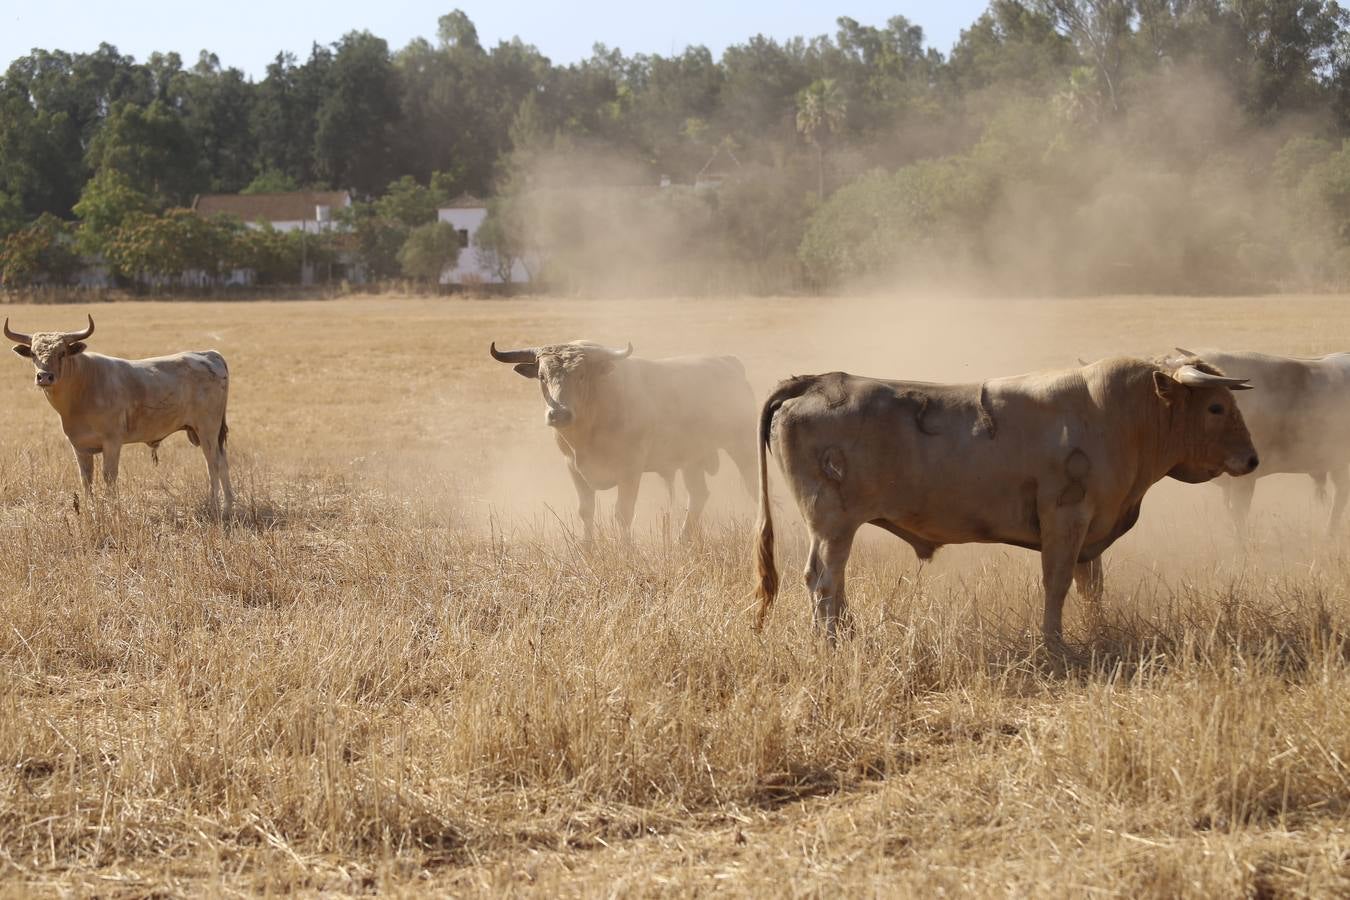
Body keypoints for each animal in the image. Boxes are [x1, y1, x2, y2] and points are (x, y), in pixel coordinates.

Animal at [8, 317, 234, 512]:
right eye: (34, 354)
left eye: (62, 352)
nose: (44, 377)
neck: (83, 387)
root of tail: (209, 354)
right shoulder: (79, 446)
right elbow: (86, 478)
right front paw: (90, 509)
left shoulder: (112, 442)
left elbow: (109, 477)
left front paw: (111, 509)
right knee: (223, 462)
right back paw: (228, 505)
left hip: (207, 429)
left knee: (213, 463)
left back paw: (214, 505)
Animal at [491, 341, 761, 542]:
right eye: (541, 376)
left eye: (581, 375)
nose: (559, 414)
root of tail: (729, 363)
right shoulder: (573, 468)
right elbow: (586, 511)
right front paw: (587, 549)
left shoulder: (630, 470)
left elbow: (622, 513)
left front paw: (626, 550)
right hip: (691, 460)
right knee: (698, 495)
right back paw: (682, 540)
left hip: (743, 447)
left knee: (753, 488)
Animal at [756, 356, 1258, 644]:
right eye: (1216, 407)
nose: (1252, 458)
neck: (1121, 417)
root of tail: (815, 382)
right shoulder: (1066, 517)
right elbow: (1057, 583)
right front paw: (1054, 644)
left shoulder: (1090, 527)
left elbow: (1091, 586)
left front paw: (1097, 631)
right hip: (832, 521)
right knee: (822, 579)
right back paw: (832, 642)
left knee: (832, 581)